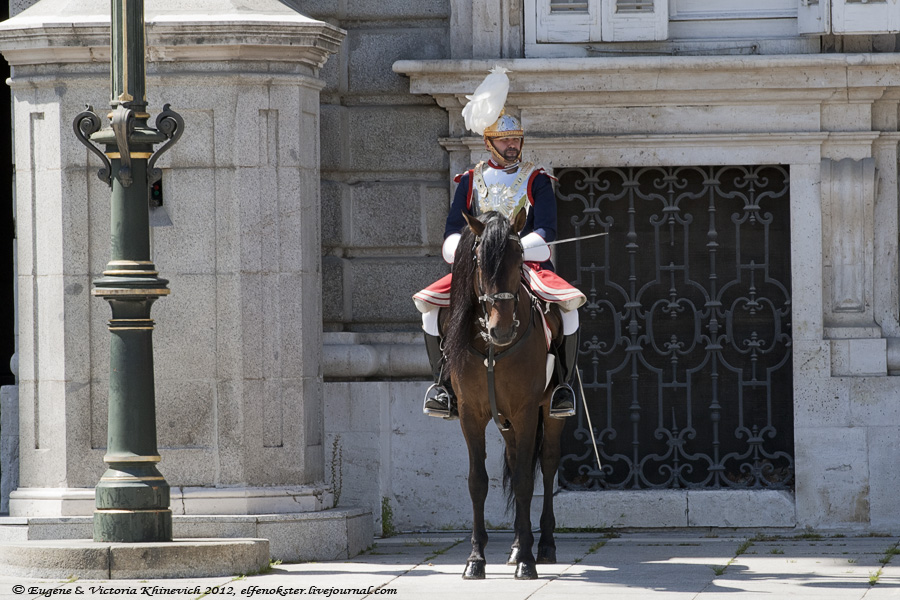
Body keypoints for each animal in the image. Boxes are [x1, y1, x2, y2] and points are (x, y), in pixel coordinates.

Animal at [442, 209, 568, 580]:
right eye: (480, 263)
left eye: (520, 259)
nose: (501, 329)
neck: (492, 349)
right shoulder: (471, 414)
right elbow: (478, 481)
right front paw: (475, 559)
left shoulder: (526, 411)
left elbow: (526, 480)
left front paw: (527, 560)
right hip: (506, 420)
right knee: (514, 458)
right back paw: (514, 547)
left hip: (546, 413)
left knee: (547, 462)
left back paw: (543, 545)